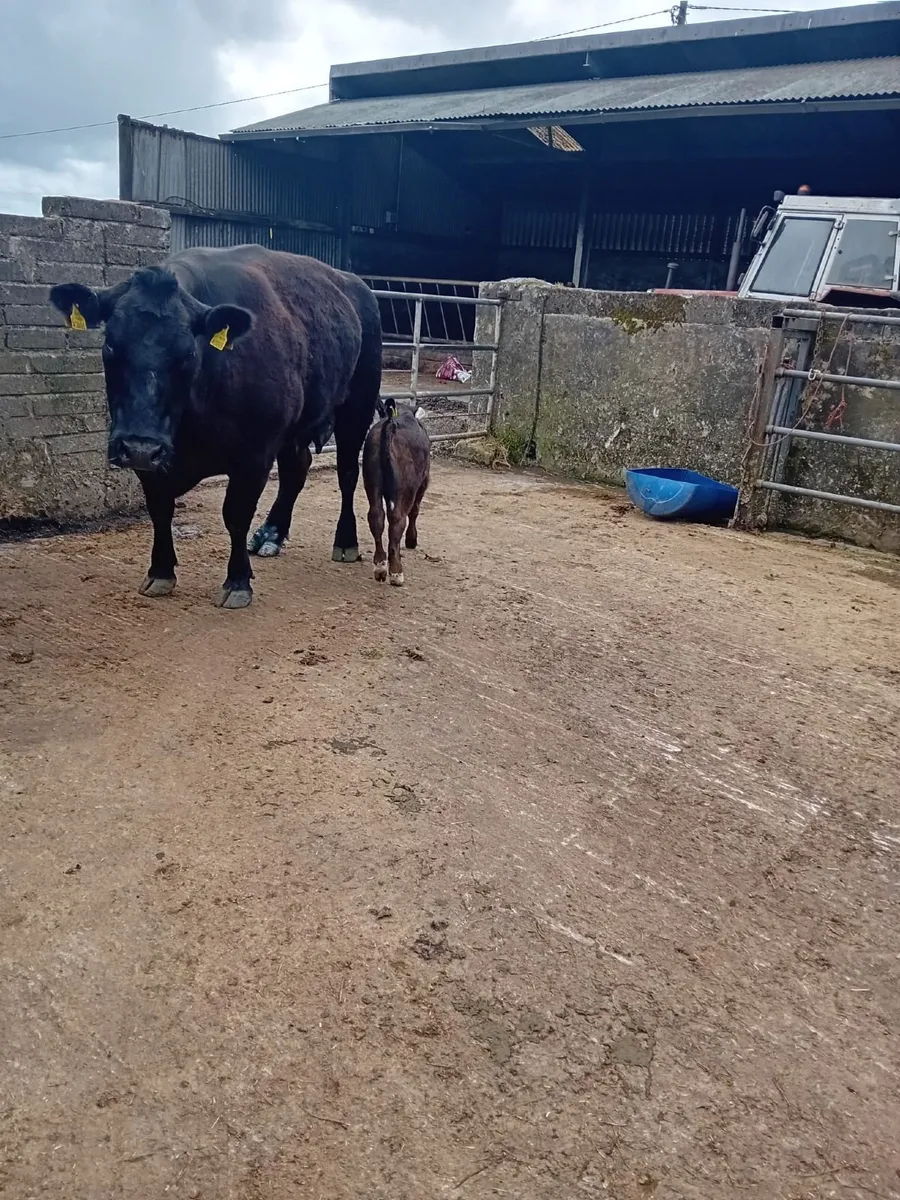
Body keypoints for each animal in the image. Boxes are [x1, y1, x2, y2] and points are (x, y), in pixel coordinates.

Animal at [49, 244, 381, 609]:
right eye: (110, 344)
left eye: (188, 352)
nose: (139, 448)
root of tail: (355, 284)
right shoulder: (151, 455)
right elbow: (160, 509)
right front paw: (160, 571)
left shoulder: (255, 453)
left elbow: (235, 514)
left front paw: (237, 581)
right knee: (297, 469)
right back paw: (271, 534)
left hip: (358, 405)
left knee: (347, 472)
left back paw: (345, 541)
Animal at [362, 401, 431, 586]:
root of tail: (391, 423)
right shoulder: (424, 481)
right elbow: (415, 511)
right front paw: (411, 540)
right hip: (406, 489)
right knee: (398, 519)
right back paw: (396, 572)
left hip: (372, 482)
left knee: (376, 516)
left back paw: (380, 566)